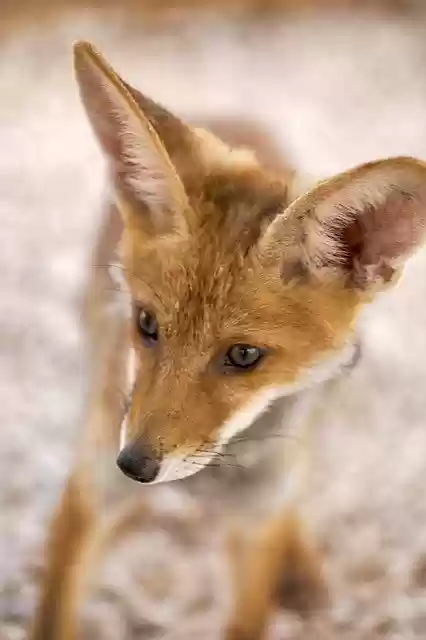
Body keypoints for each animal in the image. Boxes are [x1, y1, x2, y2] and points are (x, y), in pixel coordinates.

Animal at [29, 40, 426, 640]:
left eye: (243, 355)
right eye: (146, 324)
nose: (135, 467)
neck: (208, 479)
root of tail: (231, 111)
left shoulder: (253, 526)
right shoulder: (91, 490)